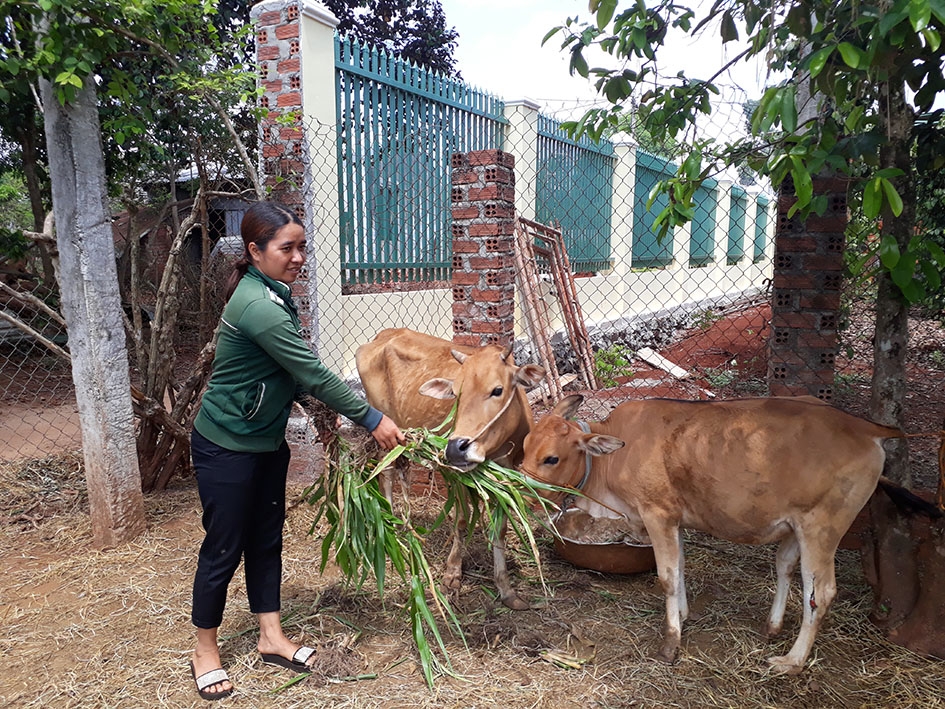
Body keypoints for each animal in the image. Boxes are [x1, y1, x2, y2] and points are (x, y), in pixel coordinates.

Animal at [356, 326, 544, 608]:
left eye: (497, 390)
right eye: (456, 394)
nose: (456, 447)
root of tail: (385, 334)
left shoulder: (503, 477)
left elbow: (499, 529)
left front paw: (506, 588)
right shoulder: (456, 474)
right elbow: (462, 520)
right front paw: (453, 573)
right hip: (383, 429)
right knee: (385, 472)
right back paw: (390, 525)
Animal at [524, 396, 908, 672]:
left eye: (552, 458)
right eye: (525, 444)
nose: (520, 492)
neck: (614, 458)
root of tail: (867, 428)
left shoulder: (657, 514)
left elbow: (666, 577)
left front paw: (670, 645)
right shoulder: (675, 518)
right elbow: (680, 569)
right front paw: (682, 616)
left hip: (823, 529)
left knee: (821, 592)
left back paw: (792, 661)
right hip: (795, 527)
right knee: (785, 567)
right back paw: (772, 627)